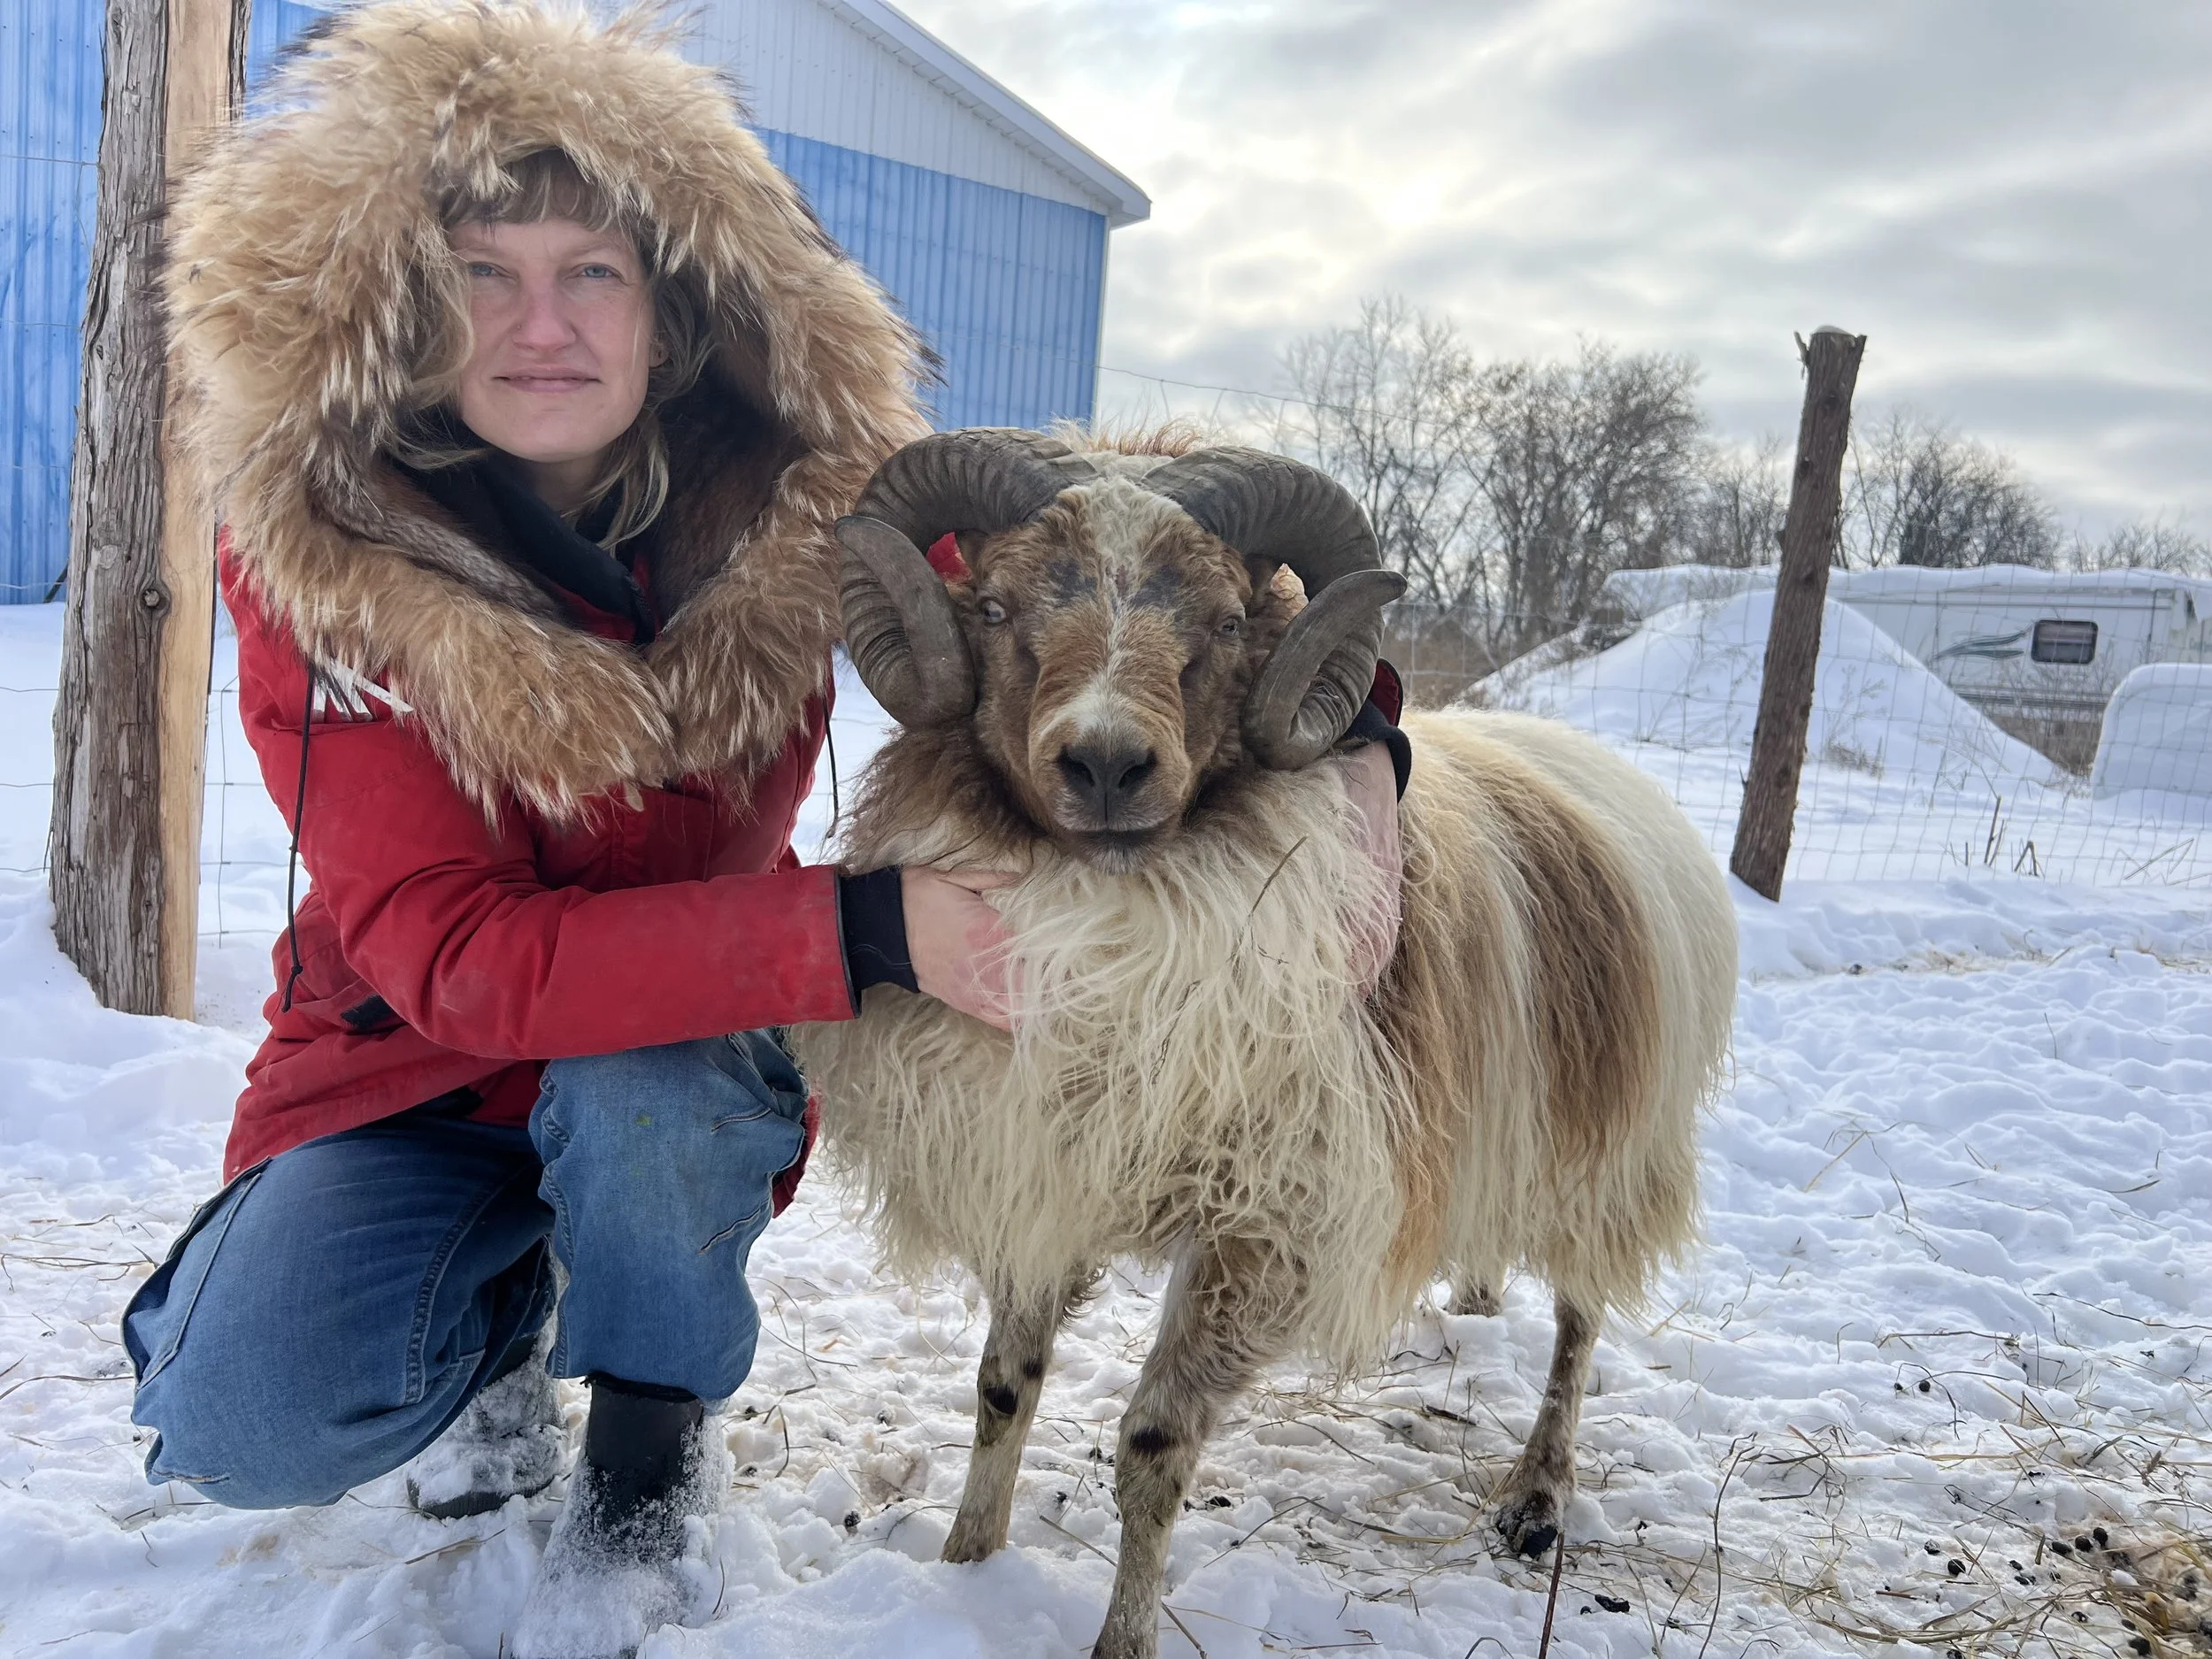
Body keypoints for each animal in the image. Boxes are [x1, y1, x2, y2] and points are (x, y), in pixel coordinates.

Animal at [789, 428, 1738, 1659]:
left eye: (1234, 619)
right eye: (992, 606)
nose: (1105, 765)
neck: (1118, 910)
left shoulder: (1267, 1220)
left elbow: (1154, 1448)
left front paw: (1120, 1642)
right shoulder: (1045, 1159)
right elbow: (1003, 1385)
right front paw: (964, 1570)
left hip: (1608, 1151)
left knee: (1580, 1324)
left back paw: (1536, 1498)